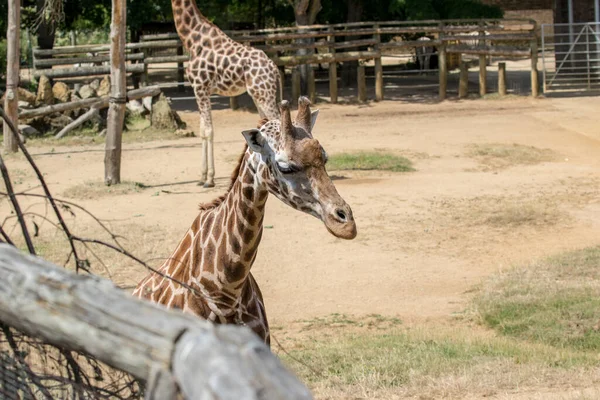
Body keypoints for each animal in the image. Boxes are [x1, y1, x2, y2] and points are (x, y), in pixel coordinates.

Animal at [169, 0, 282, 188]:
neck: (192, 38)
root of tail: (275, 69)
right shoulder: (199, 90)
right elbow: (202, 130)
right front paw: (202, 177)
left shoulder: (201, 87)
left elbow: (208, 131)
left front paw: (209, 179)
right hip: (259, 95)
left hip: (264, 94)